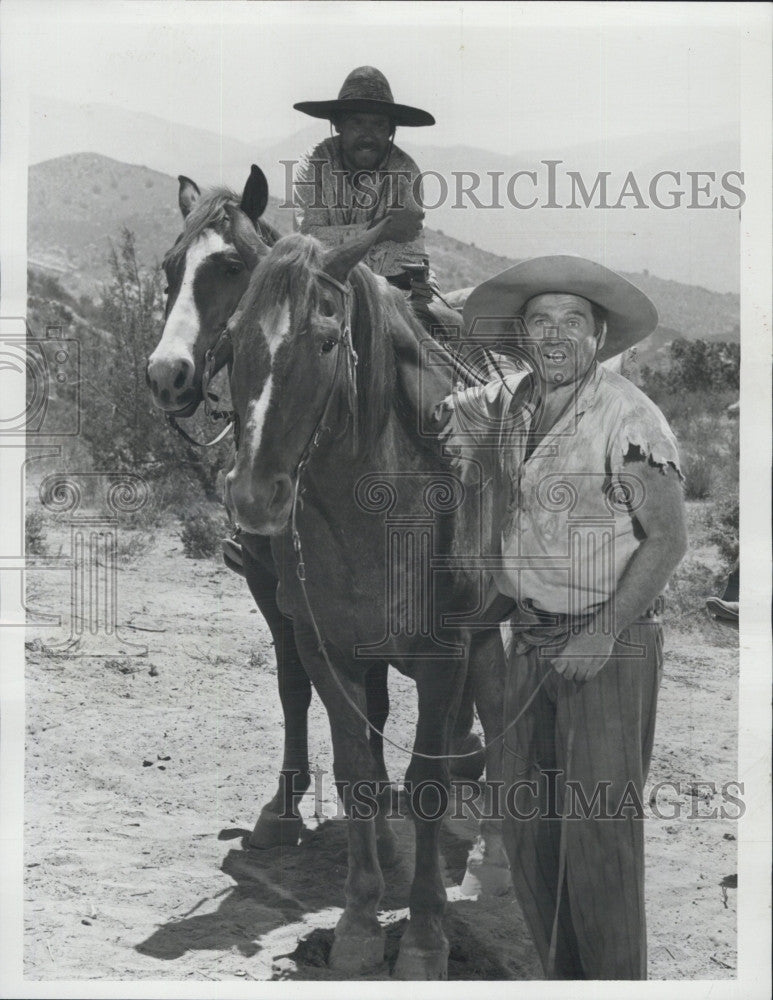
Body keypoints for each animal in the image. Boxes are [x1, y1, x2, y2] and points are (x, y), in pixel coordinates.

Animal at [146, 170, 486, 852]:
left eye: (230, 265)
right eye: (170, 268)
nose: (168, 375)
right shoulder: (275, 588)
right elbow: (298, 686)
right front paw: (286, 804)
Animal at [223, 223, 512, 980]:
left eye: (327, 341)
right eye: (231, 339)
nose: (255, 497)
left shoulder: (444, 657)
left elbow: (428, 783)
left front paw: (425, 937)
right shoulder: (330, 651)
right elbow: (358, 773)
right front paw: (356, 924)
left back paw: (496, 852)